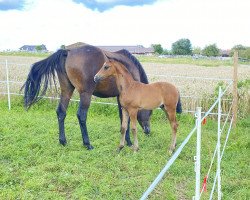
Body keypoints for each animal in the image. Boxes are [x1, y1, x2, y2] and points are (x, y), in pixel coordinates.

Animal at [22, 43, 150, 150]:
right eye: (150, 112)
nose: (148, 131)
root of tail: (67, 51)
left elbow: (123, 119)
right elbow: (125, 120)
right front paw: (128, 142)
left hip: (66, 90)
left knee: (61, 112)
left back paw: (63, 141)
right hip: (85, 94)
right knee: (81, 115)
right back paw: (87, 144)